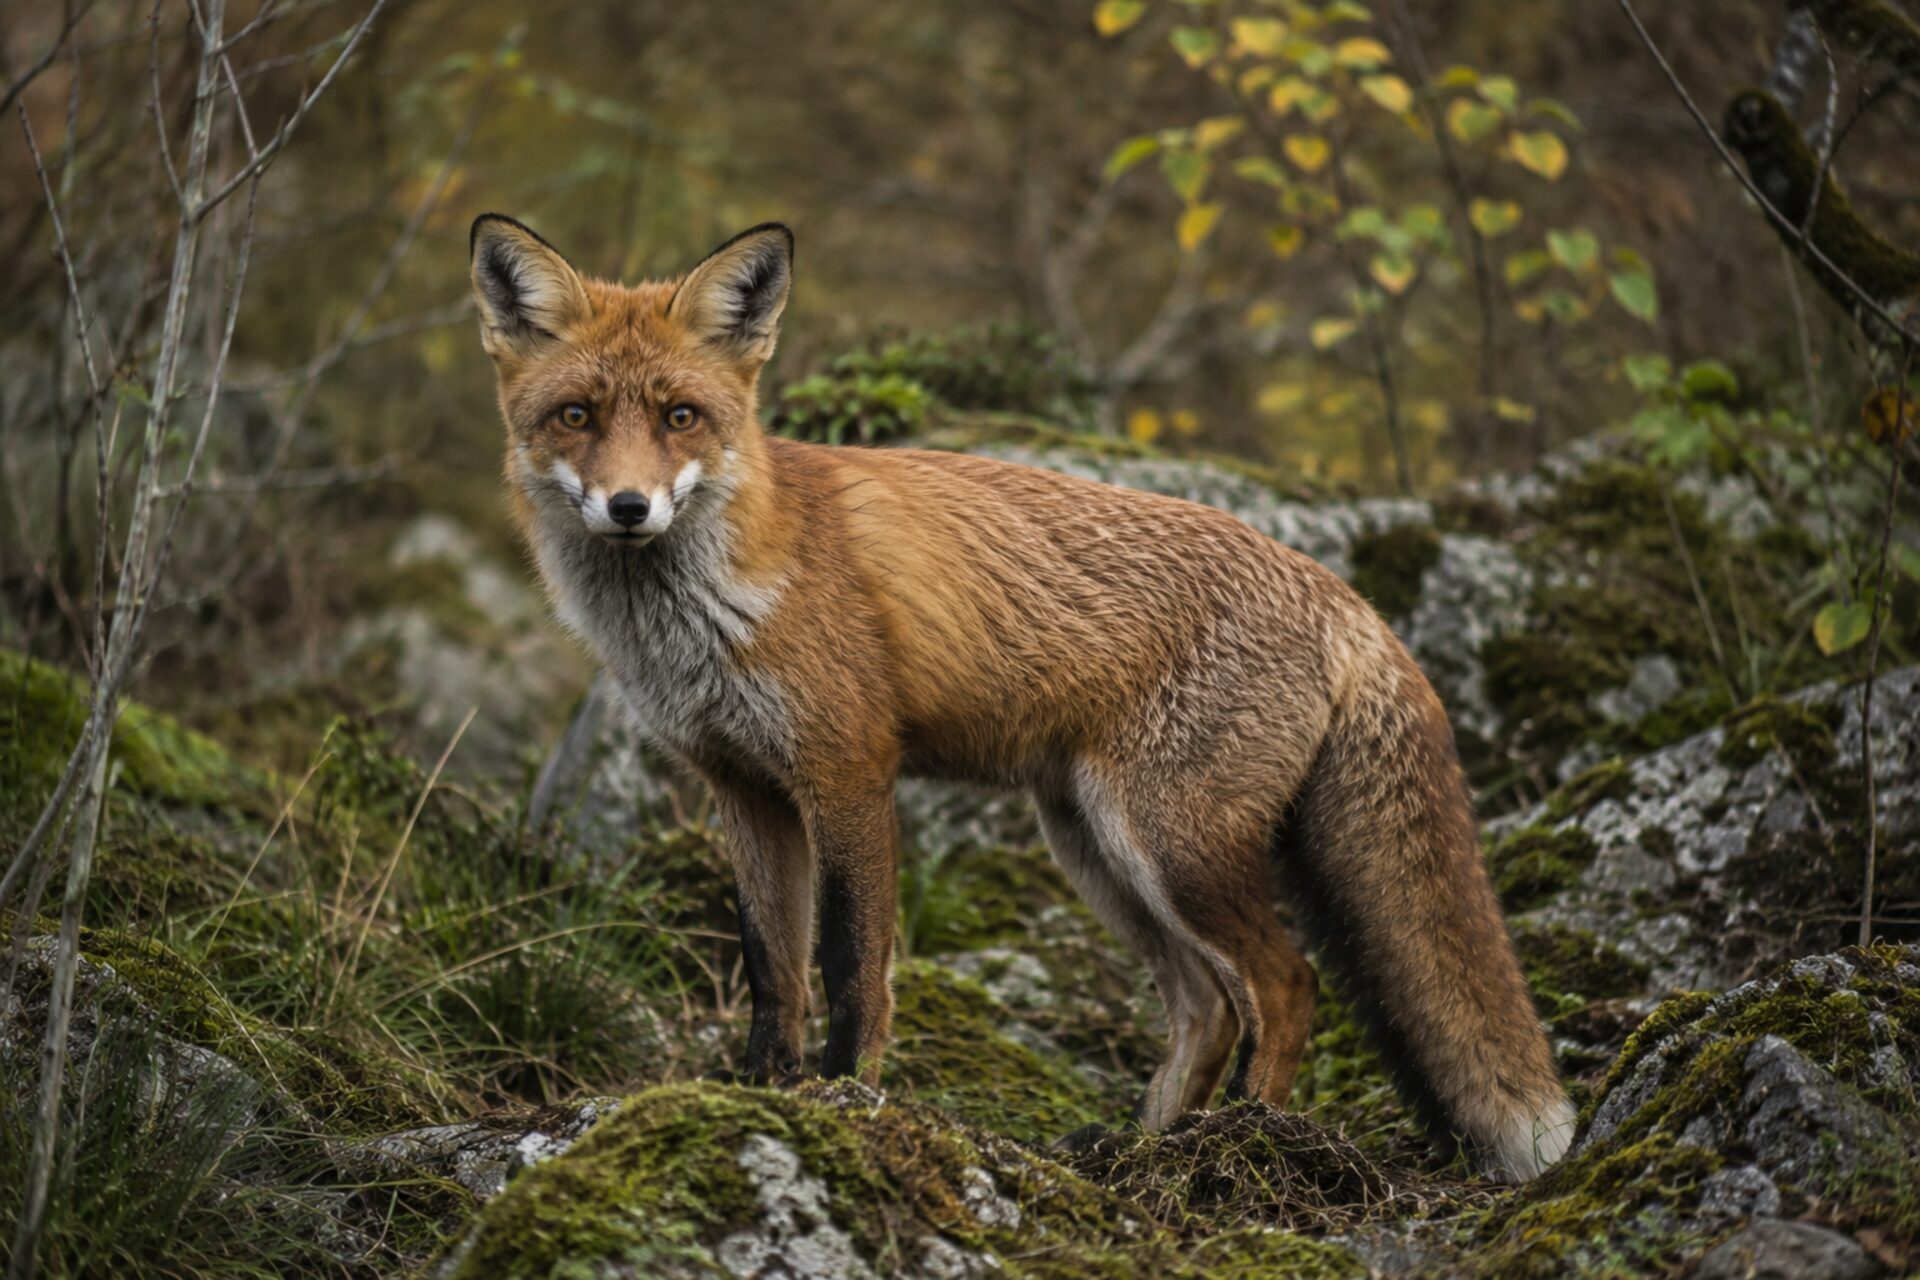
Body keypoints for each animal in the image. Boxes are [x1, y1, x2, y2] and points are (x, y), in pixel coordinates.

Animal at [468, 213, 1577, 1180]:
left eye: (680, 417)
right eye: (576, 417)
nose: (628, 506)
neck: (705, 610)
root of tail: (1341, 593)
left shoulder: (848, 773)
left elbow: (850, 968)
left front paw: (844, 1101)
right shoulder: (743, 789)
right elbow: (771, 971)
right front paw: (753, 1097)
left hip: (1172, 844)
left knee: (1286, 983)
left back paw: (1242, 1143)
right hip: (1094, 847)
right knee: (1207, 1005)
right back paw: (1141, 1150)